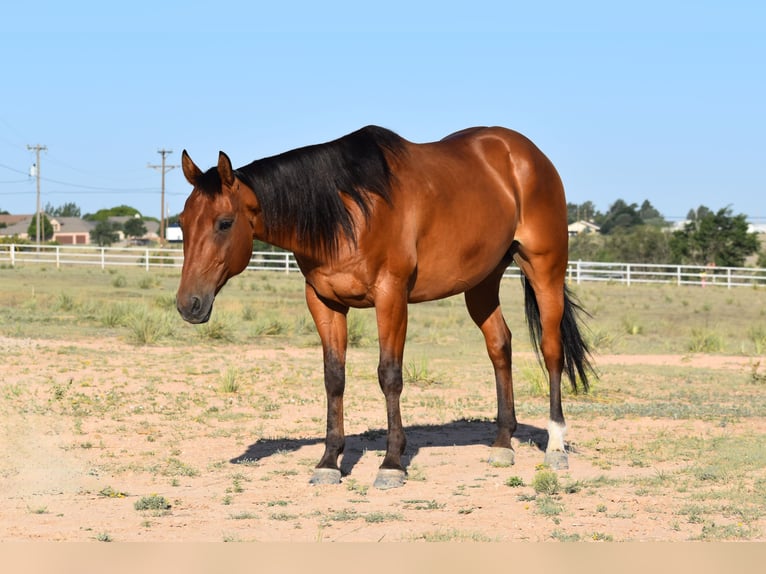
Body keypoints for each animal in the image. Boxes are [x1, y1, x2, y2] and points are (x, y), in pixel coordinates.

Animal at [176, 125, 593, 489]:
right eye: (182, 221)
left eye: (224, 222)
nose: (188, 305)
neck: (349, 210)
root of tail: (526, 154)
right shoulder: (323, 302)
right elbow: (334, 378)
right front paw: (328, 462)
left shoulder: (391, 296)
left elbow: (389, 375)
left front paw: (391, 464)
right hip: (482, 282)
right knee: (499, 346)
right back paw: (503, 444)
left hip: (545, 270)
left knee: (551, 351)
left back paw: (556, 446)